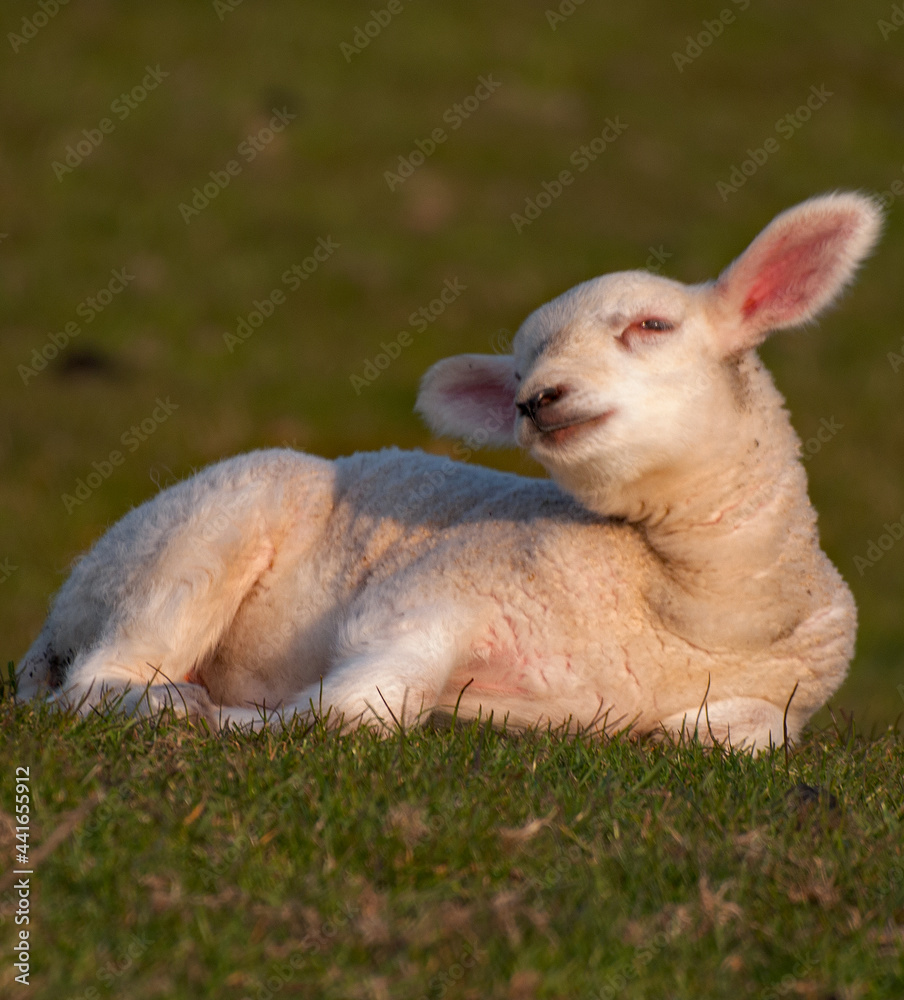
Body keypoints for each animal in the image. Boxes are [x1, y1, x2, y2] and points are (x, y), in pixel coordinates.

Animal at [16, 191, 881, 750]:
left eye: (652, 325)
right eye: (522, 365)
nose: (537, 400)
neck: (689, 606)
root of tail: (58, 609)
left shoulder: (772, 705)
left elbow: (731, 740)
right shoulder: (424, 600)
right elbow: (361, 711)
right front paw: (234, 722)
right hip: (196, 537)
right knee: (97, 677)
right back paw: (165, 701)